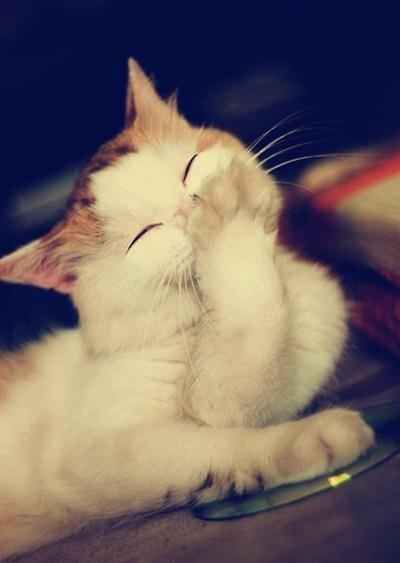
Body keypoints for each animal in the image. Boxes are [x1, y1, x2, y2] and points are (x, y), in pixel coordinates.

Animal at [0, 58, 374, 560]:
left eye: (189, 167)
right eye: (144, 234)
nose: (190, 206)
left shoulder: (259, 382)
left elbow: (253, 355)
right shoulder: (97, 456)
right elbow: (219, 445)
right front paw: (313, 437)